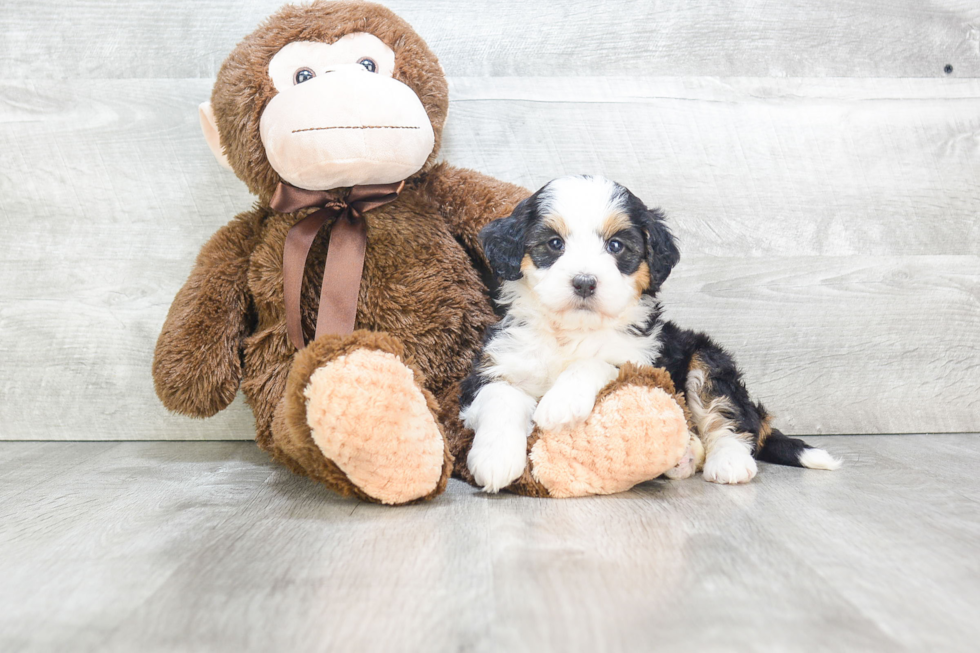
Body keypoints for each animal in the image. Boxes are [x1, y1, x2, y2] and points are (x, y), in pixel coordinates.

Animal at [464, 173, 840, 488]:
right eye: (555, 244)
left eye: (616, 246)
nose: (584, 282)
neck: (572, 331)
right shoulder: (496, 364)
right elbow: (499, 396)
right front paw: (495, 459)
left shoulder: (644, 360)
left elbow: (595, 363)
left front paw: (560, 403)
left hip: (706, 359)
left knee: (729, 417)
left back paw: (729, 463)